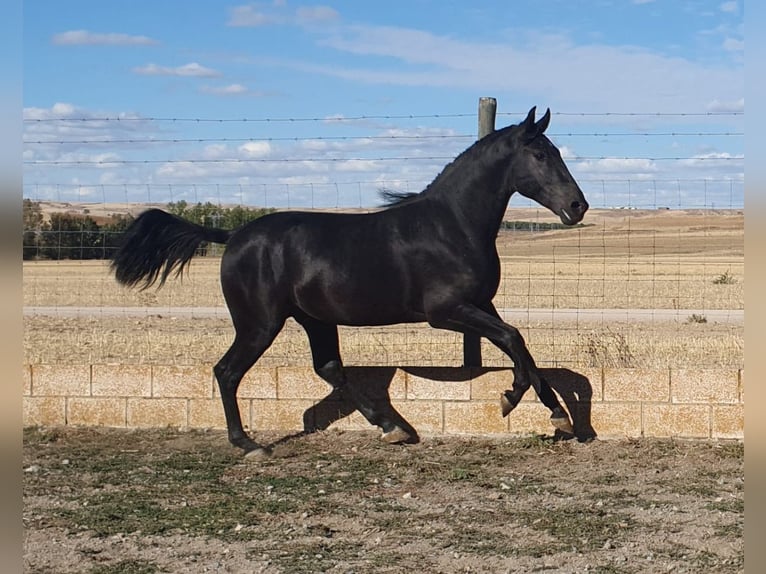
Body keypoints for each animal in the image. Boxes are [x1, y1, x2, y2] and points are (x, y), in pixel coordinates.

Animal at [109, 107, 588, 460]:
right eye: (541, 155)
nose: (577, 206)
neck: (451, 225)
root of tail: (233, 235)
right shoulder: (445, 311)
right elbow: (512, 339)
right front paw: (515, 401)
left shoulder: (481, 305)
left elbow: (521, 347)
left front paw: (557, 416)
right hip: (259, 324)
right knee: (227, 372)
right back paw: (249, 445)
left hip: (314, 319)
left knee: (328, 368)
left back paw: (393, 428)